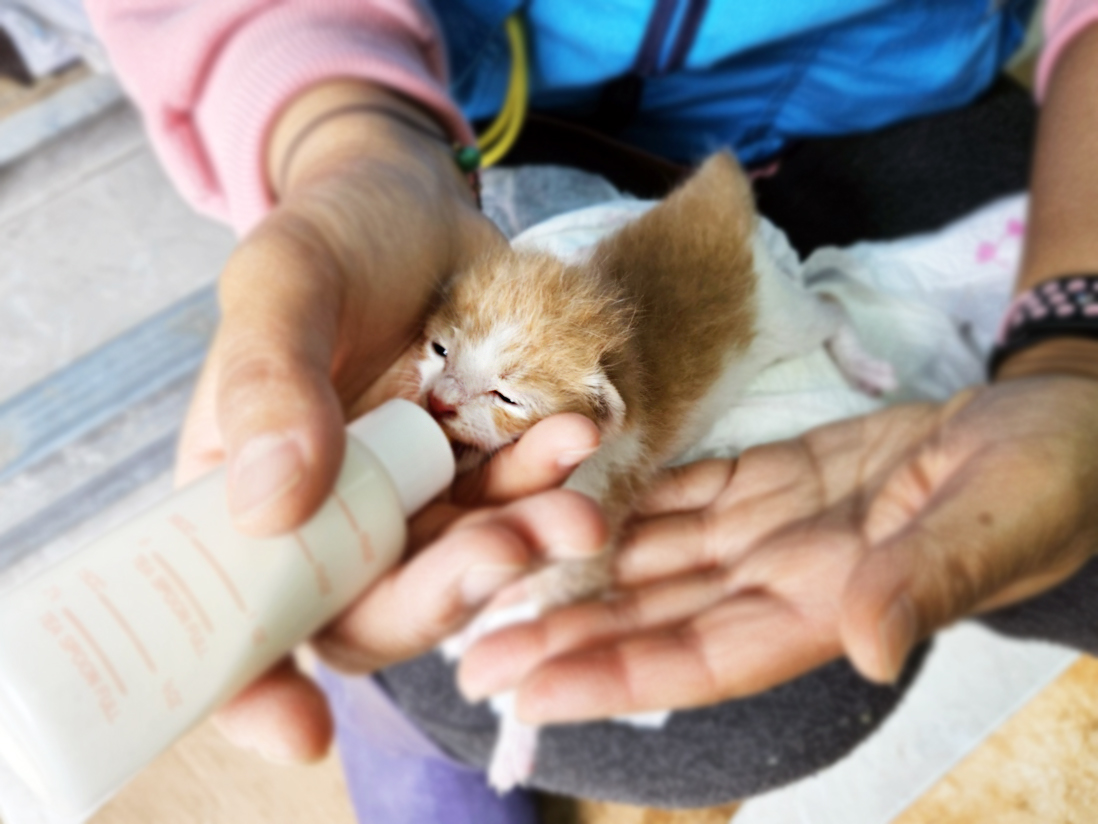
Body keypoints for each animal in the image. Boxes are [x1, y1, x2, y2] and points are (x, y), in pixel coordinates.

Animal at [412, 153, 891, 795]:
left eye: (506, 397)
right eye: (440, 349)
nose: (438, 402)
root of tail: (713, 198)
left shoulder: (592, 515)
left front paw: (513, 731)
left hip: (785, 319)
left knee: (833, 307)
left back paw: (867, 368)